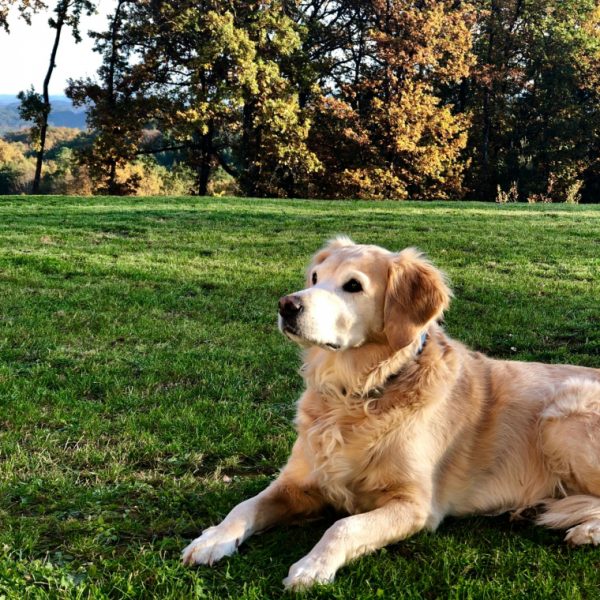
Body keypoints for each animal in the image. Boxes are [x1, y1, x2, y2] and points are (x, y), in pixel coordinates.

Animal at [182, 237, 600, 588]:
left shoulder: (415, 504)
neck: (356, 394)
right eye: (315, 278)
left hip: (562, 415)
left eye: (353, 286)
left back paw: (585, 529)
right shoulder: (297, 483)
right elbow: (245, 505)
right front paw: (212, 538)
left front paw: (312, 566)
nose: (287, 304)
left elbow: (344, 526)